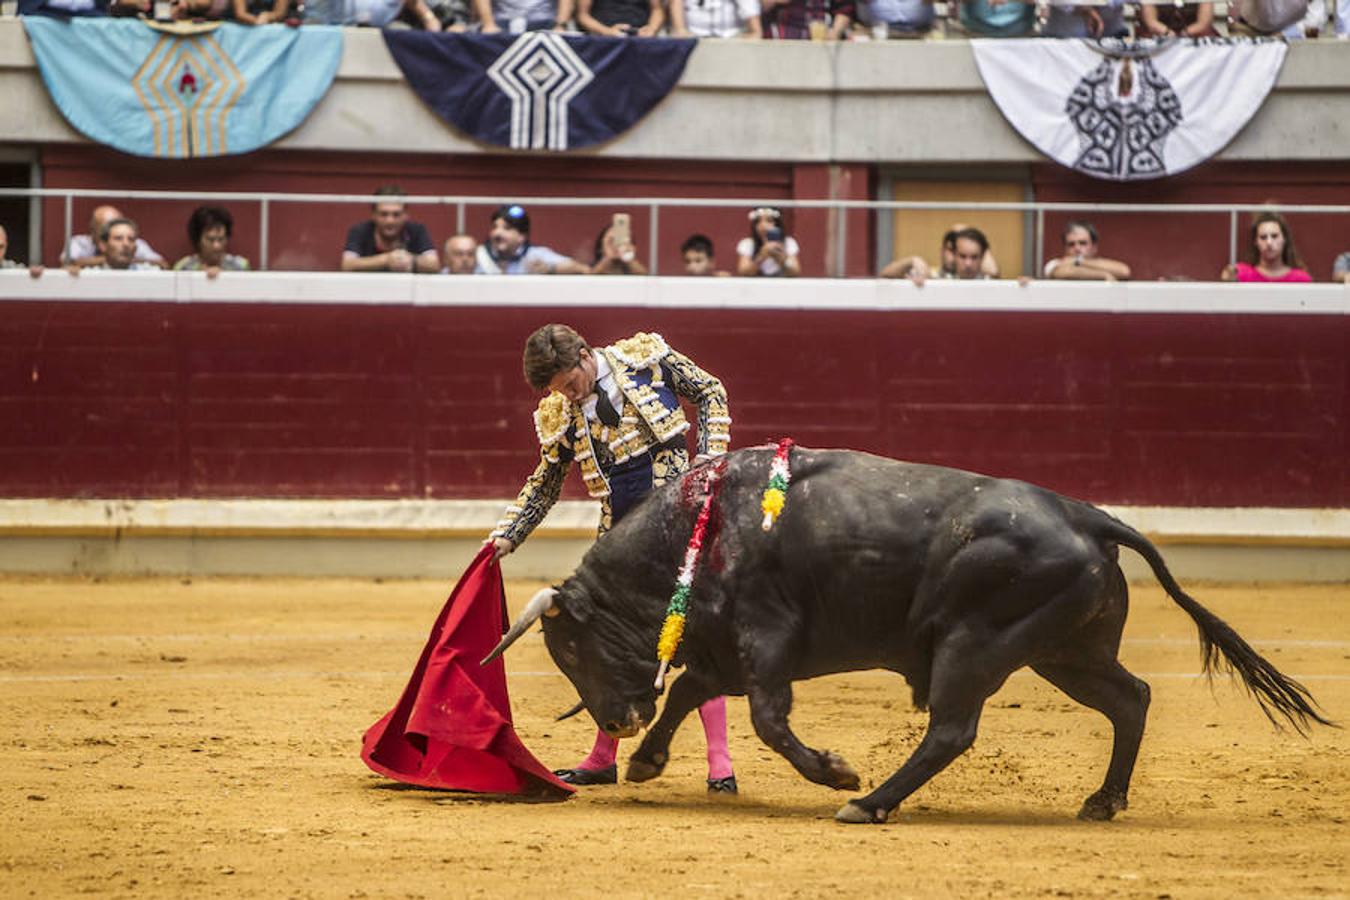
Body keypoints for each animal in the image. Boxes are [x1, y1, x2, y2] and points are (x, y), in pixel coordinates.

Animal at [486, 447, 1328, 825]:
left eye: (571, 649)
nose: (615, 720)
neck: (693, 538)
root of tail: (1086, 515)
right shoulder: (726, 649)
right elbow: (691, 692)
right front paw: (649, 761)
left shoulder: (765, 640)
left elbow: (766, 718)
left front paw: (834, 772)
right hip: (1065, 652)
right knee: (1131, 697)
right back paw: (1102, 800)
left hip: (976, 645)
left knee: (952, 730)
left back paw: (869, 802)